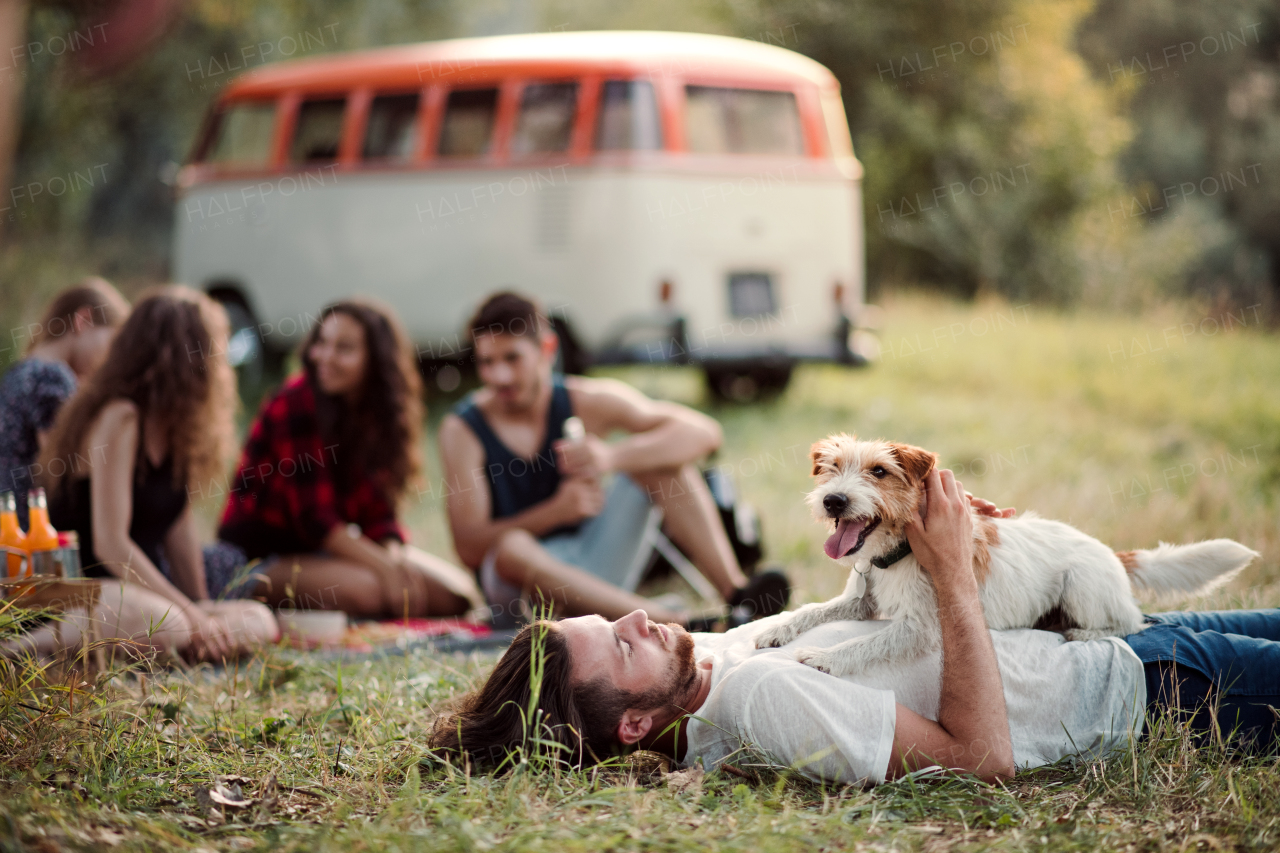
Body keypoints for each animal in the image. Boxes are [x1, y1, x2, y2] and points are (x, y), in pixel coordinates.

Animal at [752, 435, 1254, 676]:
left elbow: (864, 643)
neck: (896, 553)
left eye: (879, 472)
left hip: (1082, 585)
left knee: (1131, 623)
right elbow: (814, 610)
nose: (833, 500)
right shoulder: (862, 600)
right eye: (832, 468)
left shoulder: (922, 626)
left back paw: (1083, 633)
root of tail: (1112, 553)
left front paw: (824, 659)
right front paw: (777, 630)